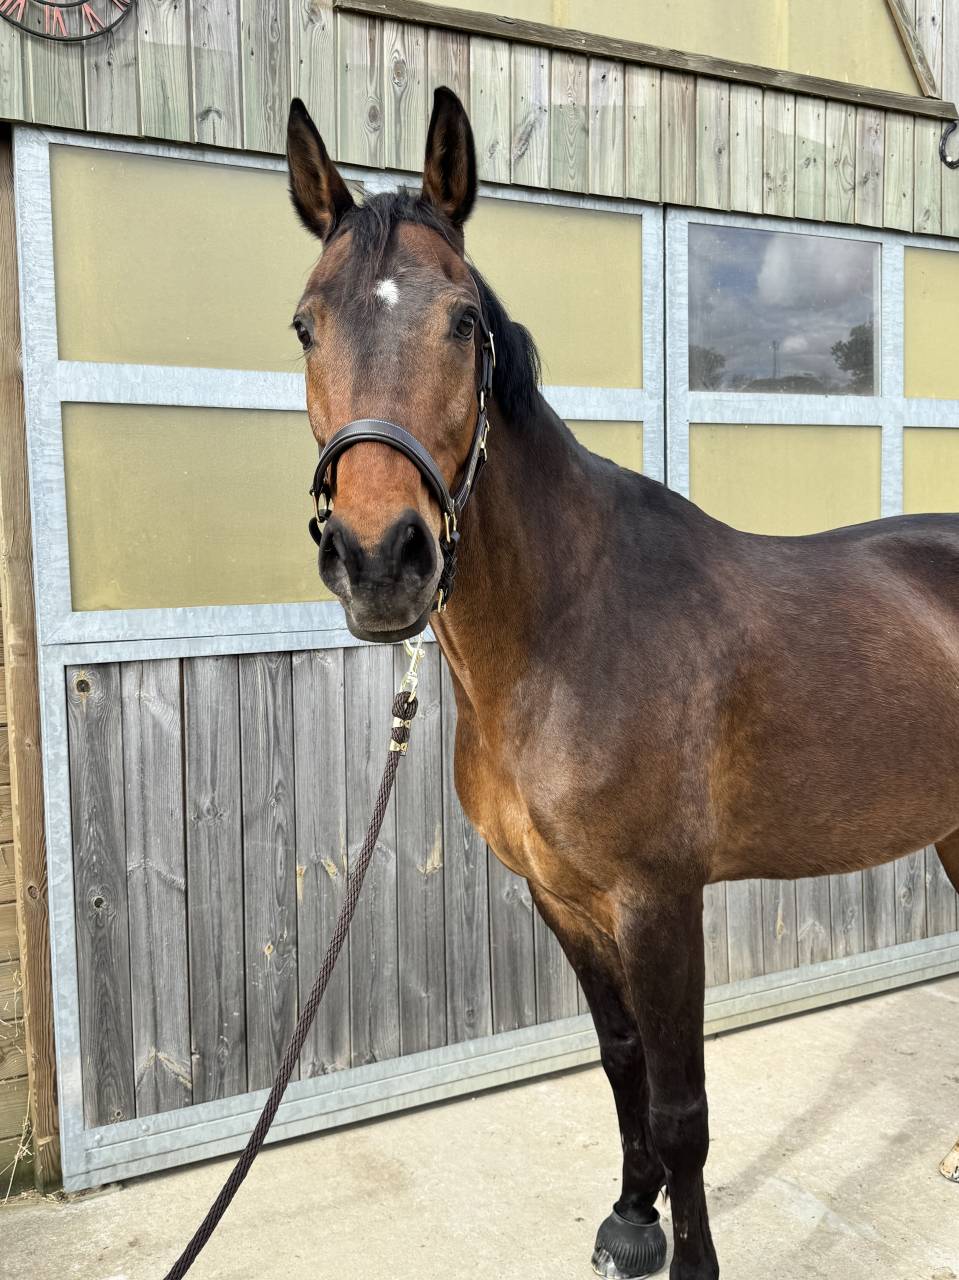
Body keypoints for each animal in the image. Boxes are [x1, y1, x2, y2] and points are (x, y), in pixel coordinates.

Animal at [284, 87, 959, 1279]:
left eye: (463, 322)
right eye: (306, 324)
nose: (379, 559)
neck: (568, 629)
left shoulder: (658, 900)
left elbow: (683, 1105)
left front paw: (689, 1258)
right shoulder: (561, 897)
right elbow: (619, 1062)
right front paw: (630, 1219)